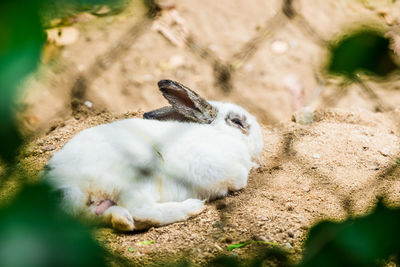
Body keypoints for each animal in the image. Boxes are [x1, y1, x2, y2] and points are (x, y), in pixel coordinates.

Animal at [44, 79, 262, 232]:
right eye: (237, 122)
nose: (260, 142)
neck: (220, 134)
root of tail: (65, 184)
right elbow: (238, 179)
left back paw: (122, 220)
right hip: (140, 173)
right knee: (141, 210)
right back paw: (192, 207)